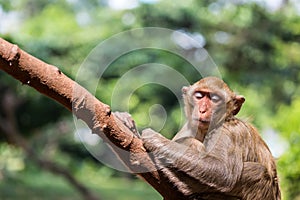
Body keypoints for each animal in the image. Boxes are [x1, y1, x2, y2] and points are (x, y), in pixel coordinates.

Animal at [115, 77, 282, 200]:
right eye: (199, 96)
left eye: (214, 98)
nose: (202, 110)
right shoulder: (188, 127)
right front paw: (129, 127)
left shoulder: (229, 131)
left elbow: (224, 172)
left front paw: (155, 139)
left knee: (259, 171)